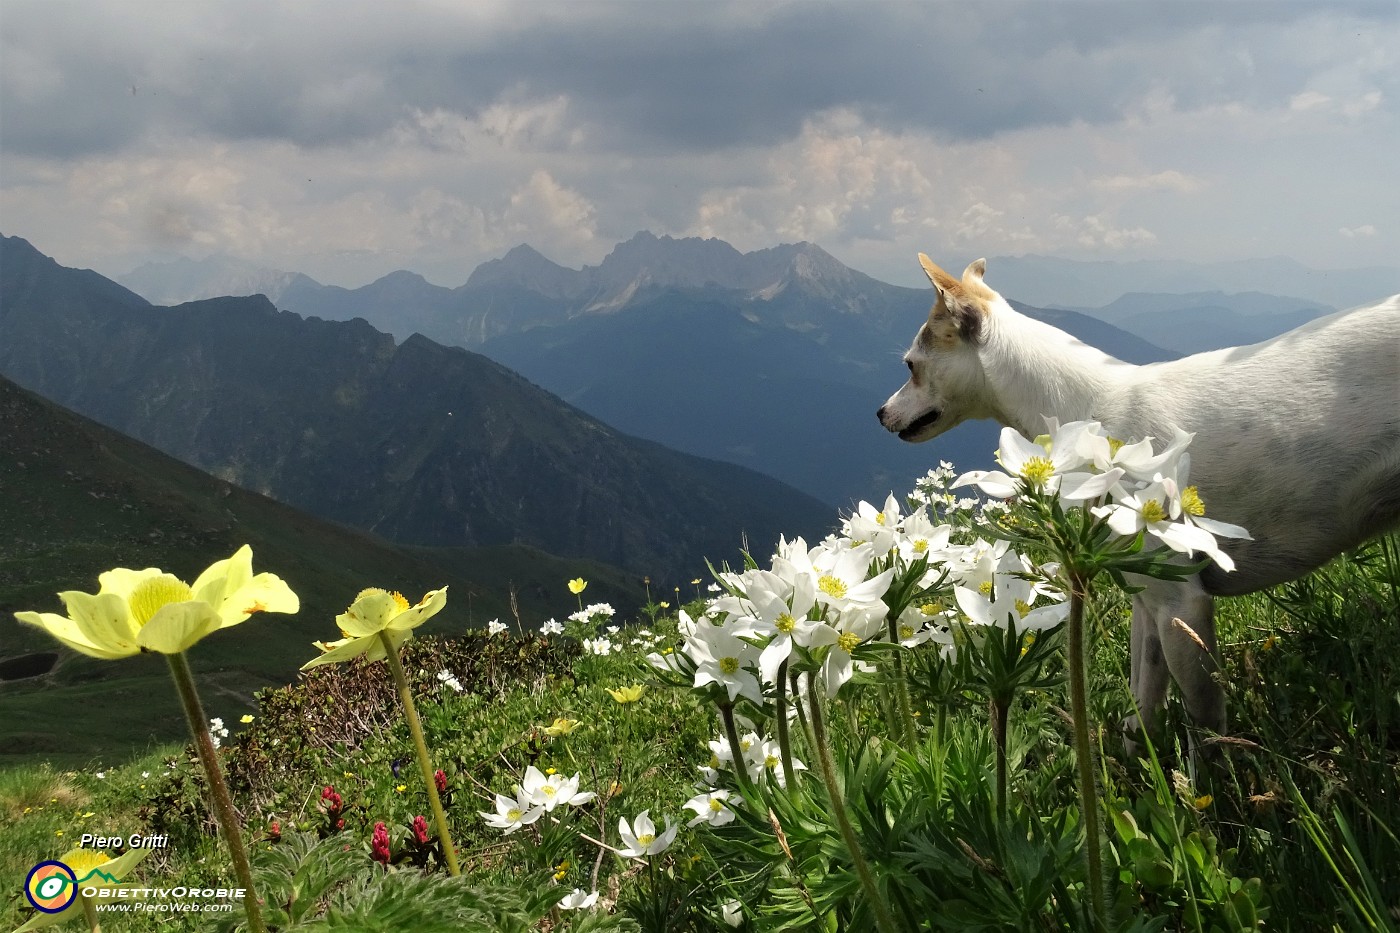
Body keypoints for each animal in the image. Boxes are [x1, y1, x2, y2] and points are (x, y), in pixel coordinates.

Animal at [879, 254, 1394, 750]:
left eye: (910, 365)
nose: (880, 413)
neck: (1085, 412)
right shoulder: (1147, 604)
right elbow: (1141, 703)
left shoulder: (1181, 606)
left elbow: (1205, 724)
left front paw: (1210, 778)